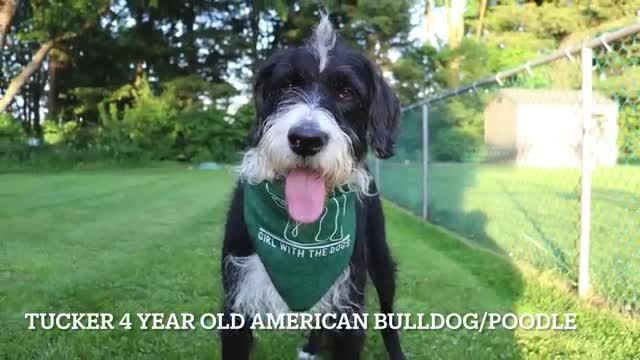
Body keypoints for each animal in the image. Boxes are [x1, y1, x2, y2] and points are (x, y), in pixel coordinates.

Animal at [220, 15, 404, 358]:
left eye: (346, 92)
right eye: (288, 85)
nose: (306, 139)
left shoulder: (350, 307)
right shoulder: (236, 301)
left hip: (381, 260)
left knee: (389, 314)